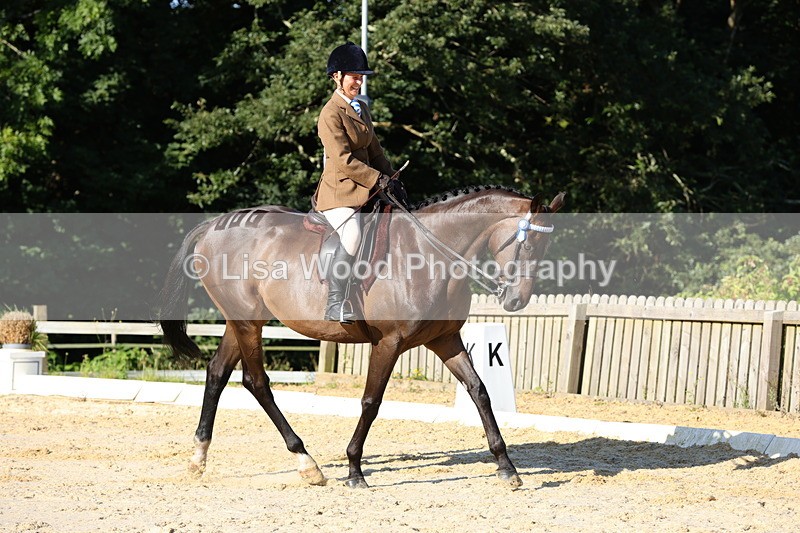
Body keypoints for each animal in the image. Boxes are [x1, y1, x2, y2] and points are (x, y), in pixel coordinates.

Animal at [159, 185, 565, 488]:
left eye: (546, 247)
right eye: (529, 245)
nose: (515, 301)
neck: (428, 254)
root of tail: (213, 226)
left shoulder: (445, 340)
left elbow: (480, 391)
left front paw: (507, 467)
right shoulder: (388, 343)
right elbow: (371, 402)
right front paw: (355, 470)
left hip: (241, 322)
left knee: (217, 373)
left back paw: (198, 459)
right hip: (247, 323)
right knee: (256, 381)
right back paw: (307, 463)